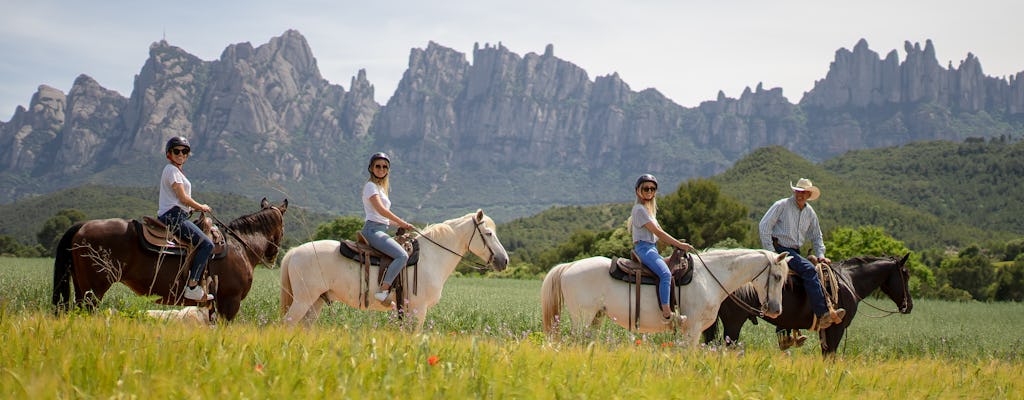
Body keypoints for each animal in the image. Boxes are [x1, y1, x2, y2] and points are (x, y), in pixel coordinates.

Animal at [52, 198, 288, 321]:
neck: (240, 246)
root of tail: (82, 226)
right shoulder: (230, 301)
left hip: (82, 288)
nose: (273, 256)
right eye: (283, 228)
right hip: (94, 290)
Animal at [280, 209, 507, 331]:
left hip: (316, 302)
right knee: (287, 325)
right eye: (488, 233)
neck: (431, 257)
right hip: (303, 300)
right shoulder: (418, 310)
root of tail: (294, 252)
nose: (503, 261)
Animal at [544, 248, 790, 345]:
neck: (709, 277)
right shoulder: (692, 328)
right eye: (778, 277)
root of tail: (569, 267)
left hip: (595, 318)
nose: (776, 310)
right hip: (582, 318)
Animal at [704, 255, 913, 356]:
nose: (909, 305)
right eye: (906, 274)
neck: (849, 280)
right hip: (733, 323)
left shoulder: (825, 331)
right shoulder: (836, 328)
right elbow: (830, 357)